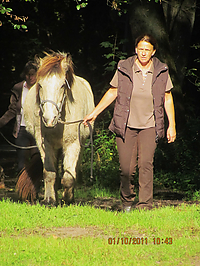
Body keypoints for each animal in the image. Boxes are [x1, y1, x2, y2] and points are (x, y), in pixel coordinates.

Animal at [16, 51, 94, 204]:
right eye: (40, 85)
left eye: (63, 85)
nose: (49, 119)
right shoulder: (45, 143)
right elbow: (49, 173)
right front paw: (49, 199)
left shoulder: (73, 144)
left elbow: (69, 176)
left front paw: (68, 199)